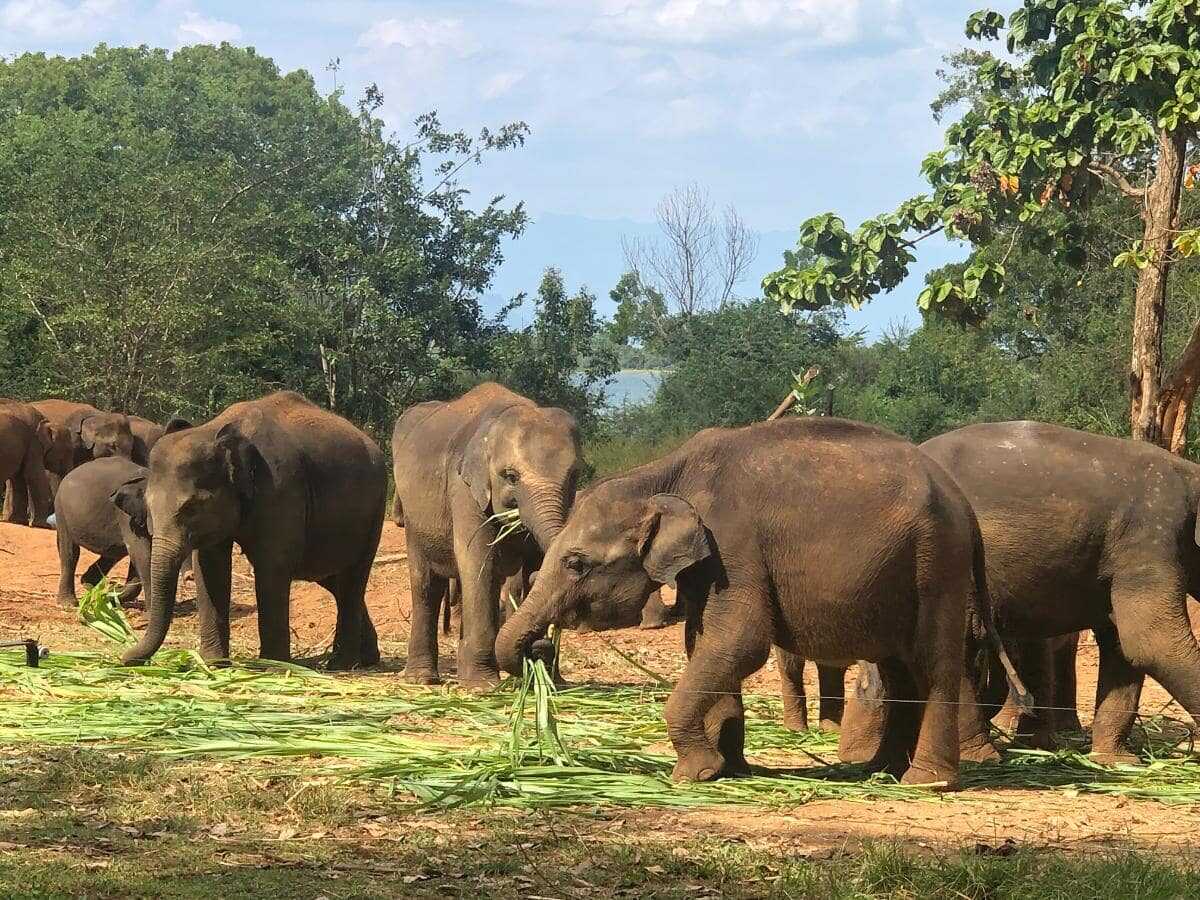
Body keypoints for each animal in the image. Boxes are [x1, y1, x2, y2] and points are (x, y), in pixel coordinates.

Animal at [54, 456, 153, 607]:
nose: (114, 585)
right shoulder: (126, 516)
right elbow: (141, 552)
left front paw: (110, 595)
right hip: (61, 510)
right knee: (70, 552)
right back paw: (69, 603)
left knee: (114, 552)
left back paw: (89, 584)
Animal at [111, 391, 385, 669]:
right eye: (148, 505)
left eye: (192, 507)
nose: (123, 658)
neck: (216, 431)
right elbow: (210, 566)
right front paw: (214, 663)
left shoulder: (281, 488)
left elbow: (272, 566)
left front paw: (272, 665)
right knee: (334, 581)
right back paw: (367, 659)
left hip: (374, 513)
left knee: (353, 579)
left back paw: (341, 663)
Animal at [392, 383, 581, 690]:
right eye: (510, 476)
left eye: (574, 475)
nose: (539, 647)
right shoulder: (463, 488)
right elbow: (478, 560)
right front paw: (482, 687)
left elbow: (533, 562)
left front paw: (547, 681)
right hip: (414, 518)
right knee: (427, 585)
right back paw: (422, 679)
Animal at [496, 417, 998, 788]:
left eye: (576, 563)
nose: (540, 646)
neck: (665, 473)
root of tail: (962, 500)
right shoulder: (710, 564)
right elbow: (703, 643)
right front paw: (727, 768)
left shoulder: (734, 546)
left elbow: (739, 642)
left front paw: (692, 775)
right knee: (897, 669)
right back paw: (879, 770)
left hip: (937, 565)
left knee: (931, 664)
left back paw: (925, 782)